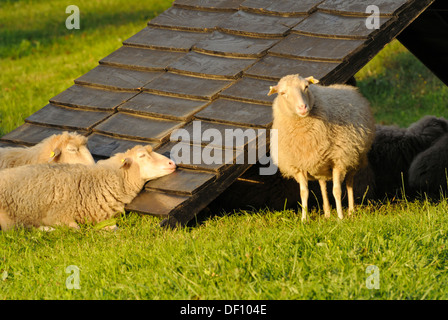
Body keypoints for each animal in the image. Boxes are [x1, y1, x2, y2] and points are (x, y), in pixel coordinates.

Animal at [268, 74, 376, 220]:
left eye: (306, 87)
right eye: (283, 93)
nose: (303, 107)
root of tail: (349, 88)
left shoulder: (339, 160)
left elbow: (336, 190)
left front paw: (340, 218)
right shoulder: (299, 166)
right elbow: (304, 192)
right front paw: (304, 219)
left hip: (354, 158)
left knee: (349, 183)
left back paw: (351, 211)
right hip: (320, 165)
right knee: (322, 185)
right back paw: (327, 213)